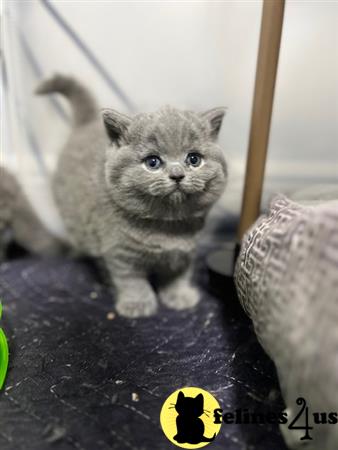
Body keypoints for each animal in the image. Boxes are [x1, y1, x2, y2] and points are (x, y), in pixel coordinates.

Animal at [36, 75, 227, 318]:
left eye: (194, 159)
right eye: (152, 162)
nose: (177, 175)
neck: (167, 226)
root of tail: (85, 124)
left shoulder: (186, 251)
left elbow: (178, 274)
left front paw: (179, 296)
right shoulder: (121, 253)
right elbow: (132, 281)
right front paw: (138, 305)